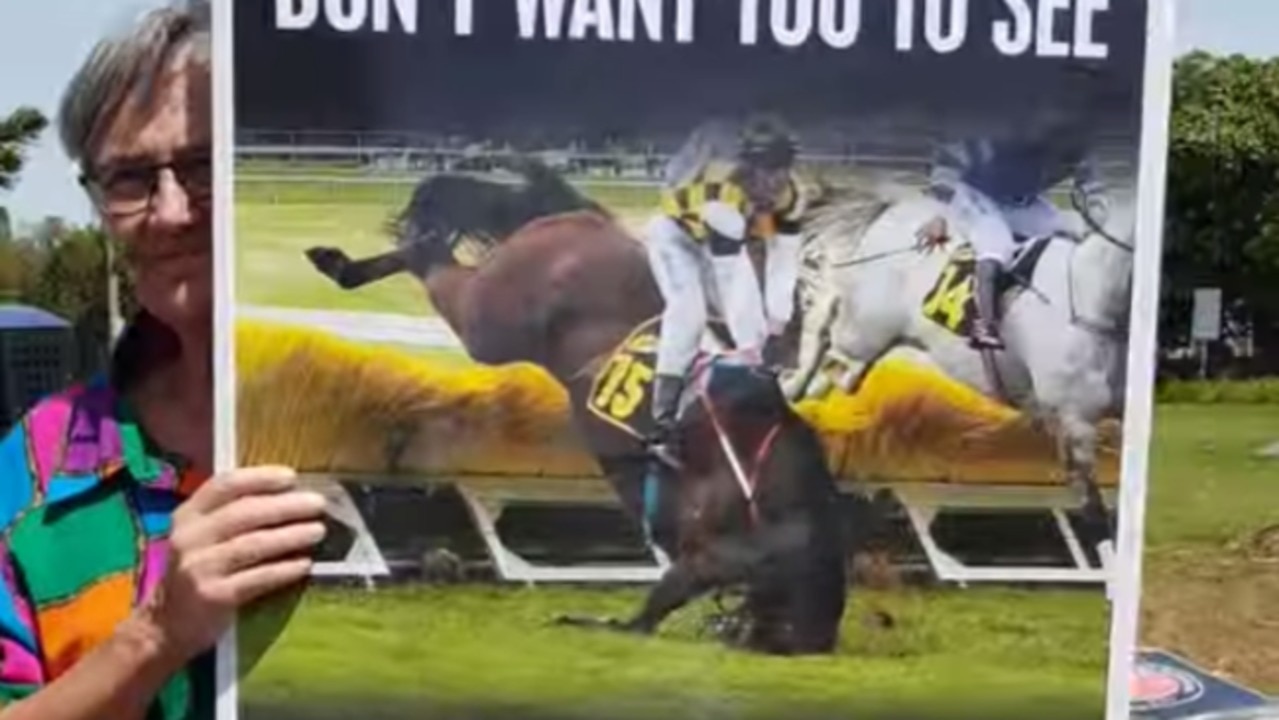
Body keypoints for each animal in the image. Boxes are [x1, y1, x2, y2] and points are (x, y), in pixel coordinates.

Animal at [304, 161, 854, 654]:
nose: (752, 633)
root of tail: (582, 223)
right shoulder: (712, 554)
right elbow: (646, 616)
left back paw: (348, 263)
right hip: (493, 321)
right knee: (435, 262)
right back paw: (408, 242)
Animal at [782, 179, 1135, 580]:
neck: (1093, 298)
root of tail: (894, 207)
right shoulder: (1074, 420)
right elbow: (1095, 510)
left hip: (874, 340)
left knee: (840, 368)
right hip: (864, 329)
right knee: (828, 332)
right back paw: (795, 384)